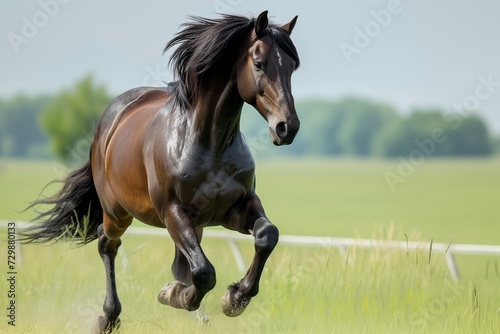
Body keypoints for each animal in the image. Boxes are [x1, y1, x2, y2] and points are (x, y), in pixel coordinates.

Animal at [21, 9, 298, 332]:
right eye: (258, 63)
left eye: (292, 66)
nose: (287, 127)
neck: (208, 144)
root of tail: (109, 121)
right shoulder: (173, 212)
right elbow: (204, 272)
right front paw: (175, 295)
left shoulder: (235, 208)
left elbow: (267, 235)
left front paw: (235, 298)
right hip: (117, 212)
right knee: (107, 245)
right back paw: (110, 316)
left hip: (193, 223)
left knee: (177, 262)